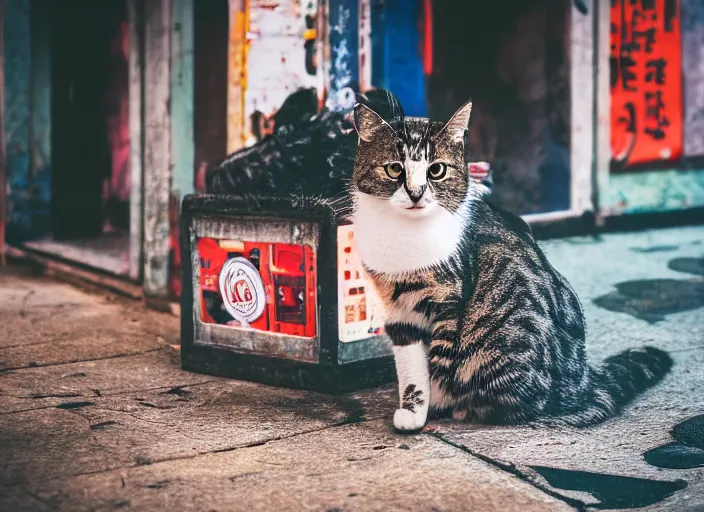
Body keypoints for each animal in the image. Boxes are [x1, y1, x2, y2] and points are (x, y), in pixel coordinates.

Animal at [350, 97, 672, 432]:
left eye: (436, 170)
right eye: (394, 169)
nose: (415, 194)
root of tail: (583, 383)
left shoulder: (449, 304)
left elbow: (440, 363)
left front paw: (436, 406)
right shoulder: (397, 314)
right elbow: (411, 368)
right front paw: (413, 411)